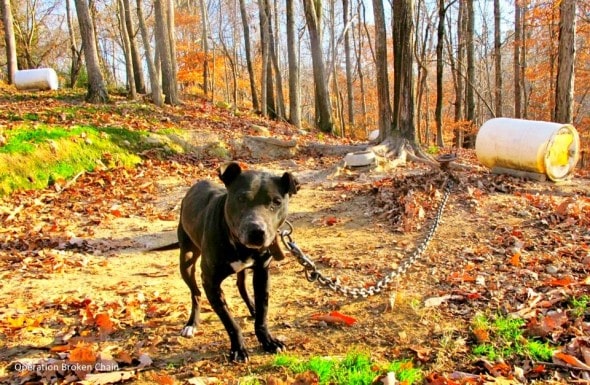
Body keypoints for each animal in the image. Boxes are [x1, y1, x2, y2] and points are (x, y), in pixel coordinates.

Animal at [157, 160, 298, 362]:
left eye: (276, 202)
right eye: (241, 199)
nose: (257, 231)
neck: (239, 245)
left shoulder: (262, 273)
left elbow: (263, 313)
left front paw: (268, 340)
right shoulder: (210, 283)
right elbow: (230, 322)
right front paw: (238, 349)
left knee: (241, 286)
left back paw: (252, 308)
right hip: (186, 260)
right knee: (195, 293)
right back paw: (192, 323)